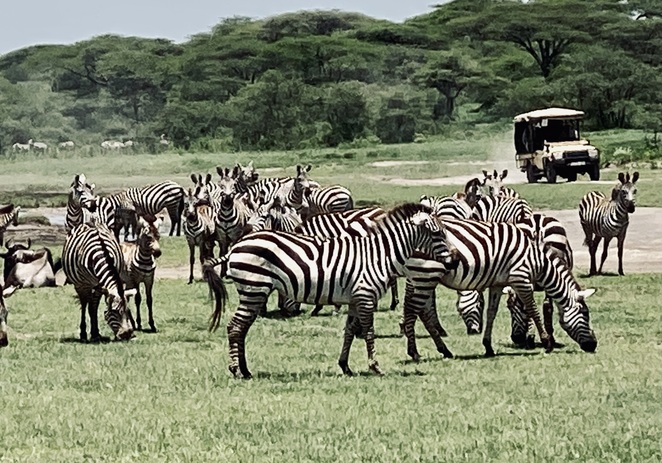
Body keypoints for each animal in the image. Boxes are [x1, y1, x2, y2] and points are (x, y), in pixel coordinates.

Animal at [205, 205, 460, 378]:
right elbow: (369, 332)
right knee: (235, 327)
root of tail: (236, 246)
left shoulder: (355, 299)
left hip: (255, 292)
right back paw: (236, 370)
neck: (379, 255)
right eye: (438, 234)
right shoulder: (366, 296)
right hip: (253, 289)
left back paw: (246, 370)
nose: (456, 260)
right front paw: (375, 366)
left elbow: (349, 332)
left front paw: (345, 366)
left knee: (241, 329)